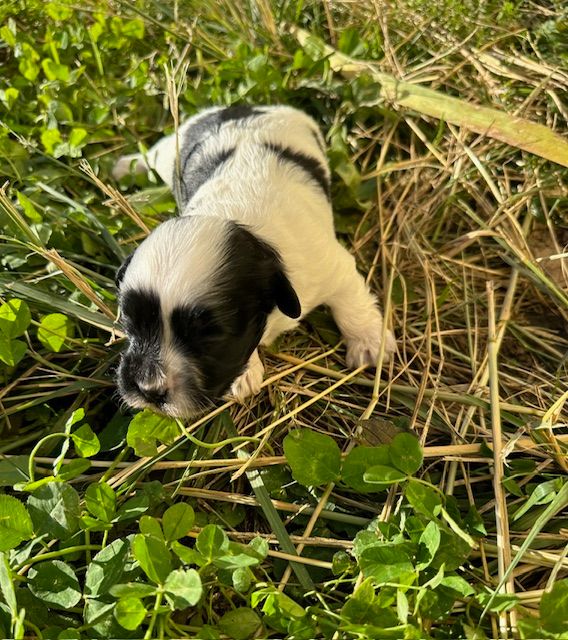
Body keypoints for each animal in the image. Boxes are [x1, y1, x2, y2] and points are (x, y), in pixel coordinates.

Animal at [111, 103, 394, 418]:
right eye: (129, 320)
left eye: (210, 338)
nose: (147, 389)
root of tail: (243, 107)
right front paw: (245, 375)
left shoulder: (331, 266)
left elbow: (352, 304)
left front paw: (369, 343)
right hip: (172, 150)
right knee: (152, 154)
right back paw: (124, 167)